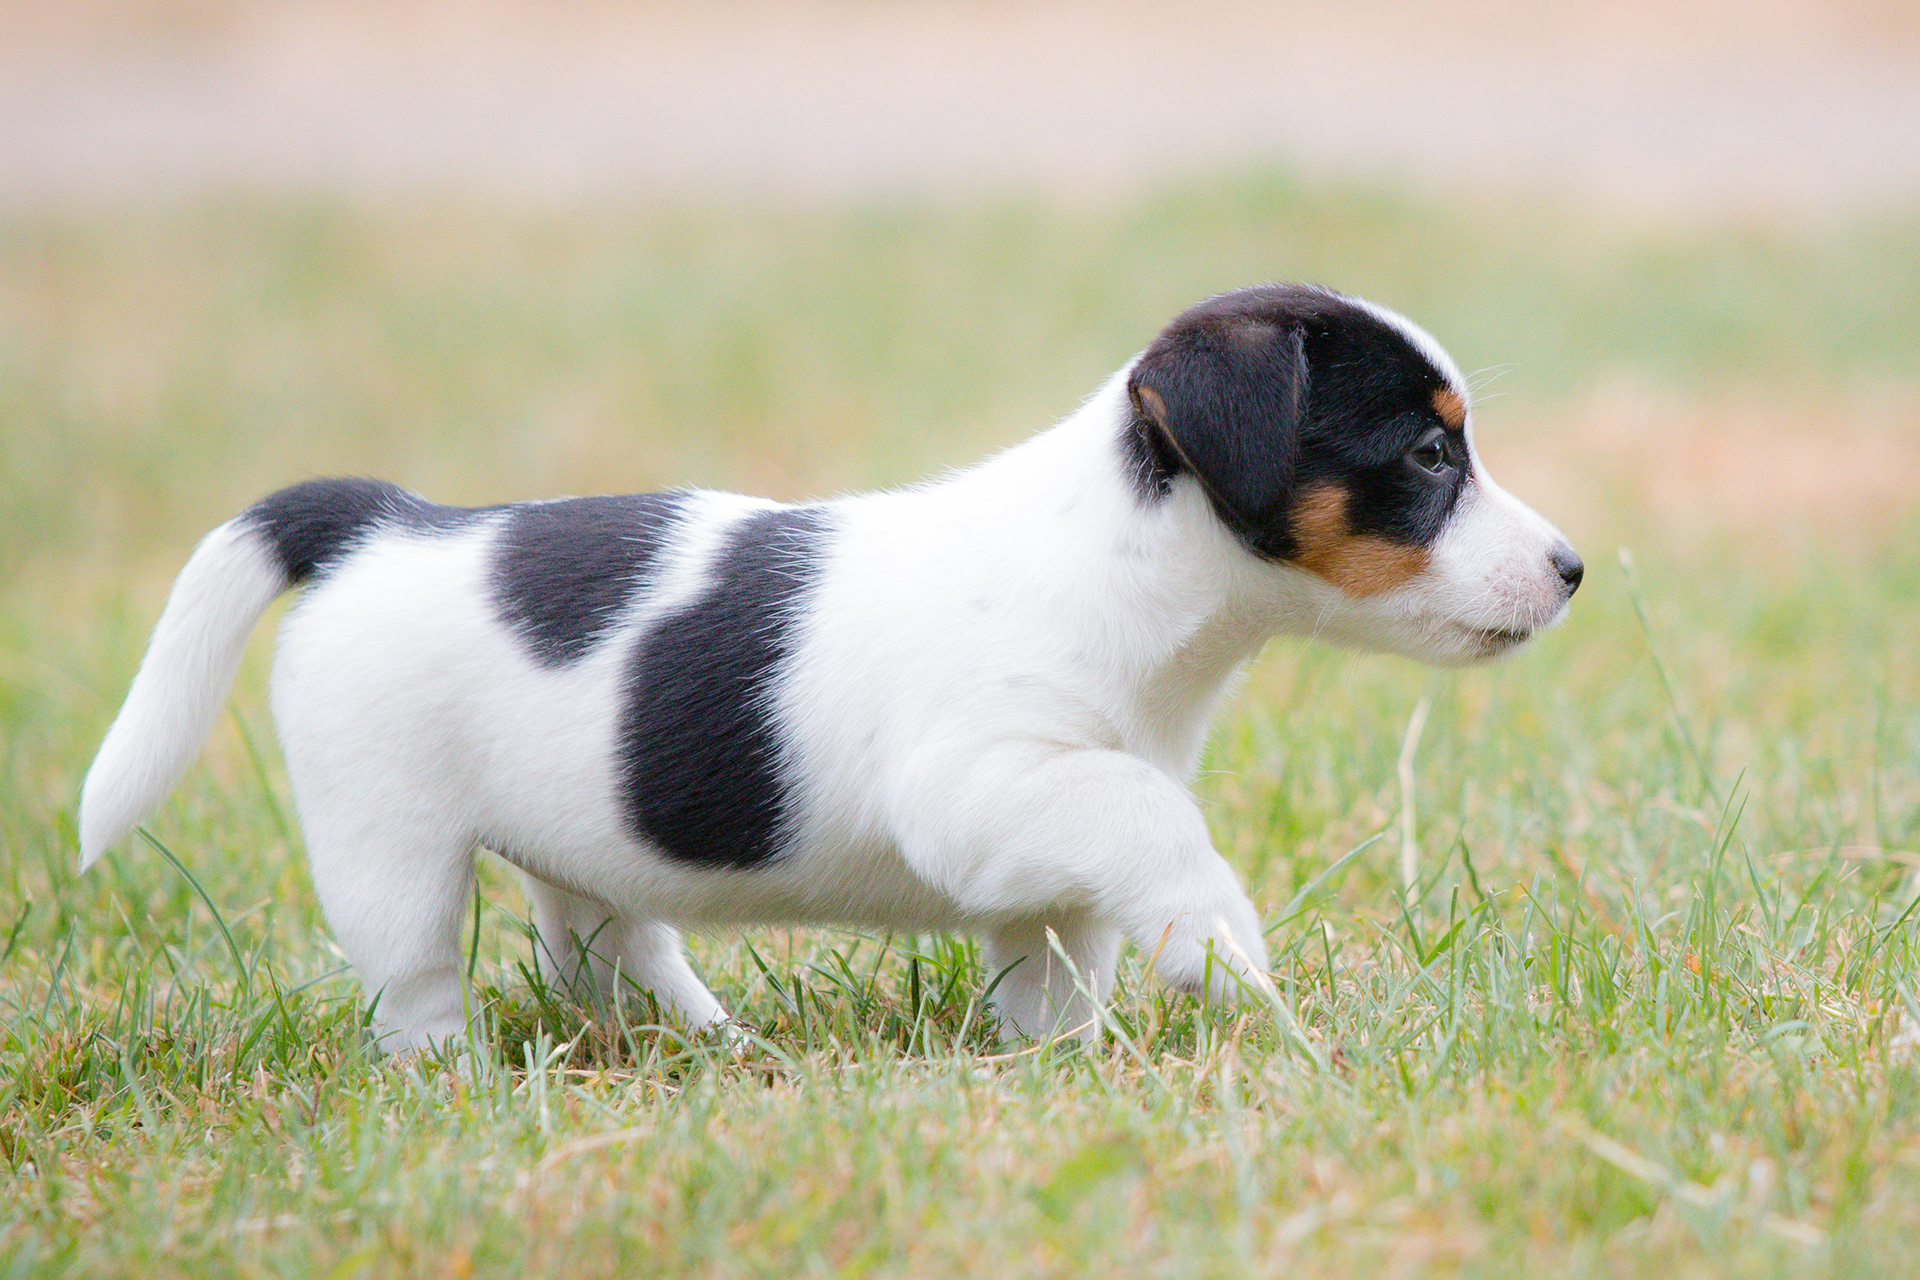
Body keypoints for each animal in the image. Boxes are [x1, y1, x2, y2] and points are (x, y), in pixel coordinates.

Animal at [74, 282, 1582, 1051]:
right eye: (1428, 453)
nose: (1573, 568)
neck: (1125, 569)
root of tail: (380, 523)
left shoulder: (1043, 845)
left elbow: (1061, 950)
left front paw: (1058, 1063)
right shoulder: (983, 779)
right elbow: (1158, 825)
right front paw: (1219, 946)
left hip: (579, 841)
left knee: (604, 946)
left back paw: (714, 1049)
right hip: (390, 850)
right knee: (421, 986)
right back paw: (458, 1087)